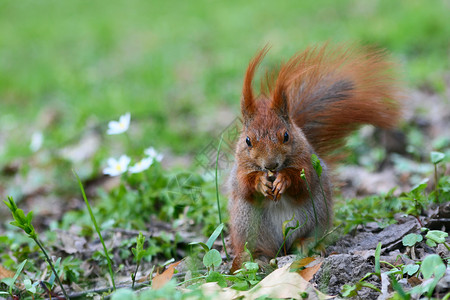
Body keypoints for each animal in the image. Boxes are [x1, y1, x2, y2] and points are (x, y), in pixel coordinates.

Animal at [229, 44, 400, 268]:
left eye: (286, 136)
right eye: (248, 140)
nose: (271, 165)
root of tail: (281, 247)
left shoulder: (307, 161)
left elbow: (305, 180)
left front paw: (283, 180)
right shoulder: (239, 168)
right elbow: (243, 184)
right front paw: (260, 181)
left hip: (315, 213)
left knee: (306, 235)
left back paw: (306, 244)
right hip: (248, 224)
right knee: (256, 247)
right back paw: (255, 258)